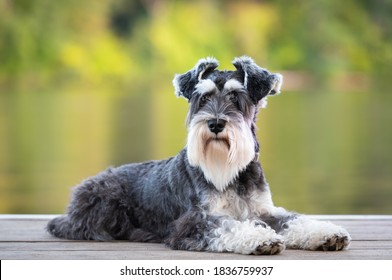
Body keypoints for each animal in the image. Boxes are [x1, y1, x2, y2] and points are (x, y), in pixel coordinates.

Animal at [47, 55, 350, 255]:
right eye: (202, 99)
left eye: (236, 98)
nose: (215, 124)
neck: (231, 174)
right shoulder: (194, 221)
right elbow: (227, 226)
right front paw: (258, 238)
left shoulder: (263, 210)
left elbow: (293, 220)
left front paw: (326, 233)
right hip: (105, 202)